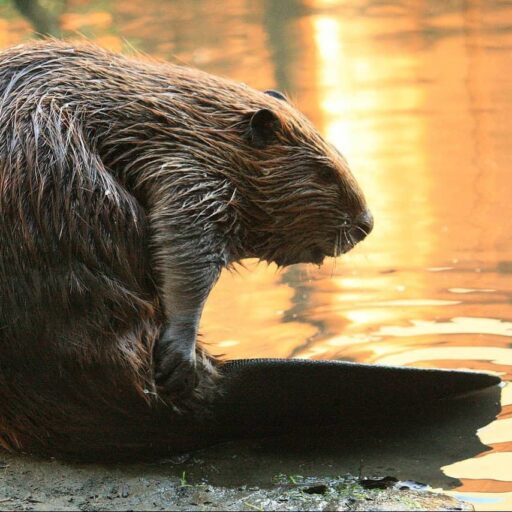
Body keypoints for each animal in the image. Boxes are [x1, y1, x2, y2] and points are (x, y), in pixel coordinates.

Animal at [0, 40, 372, 460]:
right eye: (324, 173)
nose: (366, 224)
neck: (189, 119)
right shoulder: (188, 169)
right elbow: (187, 244)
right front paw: (178, 354)